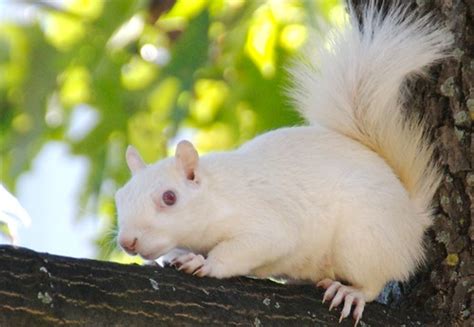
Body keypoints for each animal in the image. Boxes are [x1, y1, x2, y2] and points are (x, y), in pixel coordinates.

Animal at [115, 1, 452, 326]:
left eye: (169, 198)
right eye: (119, 198)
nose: (127, 241)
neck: (216, 195)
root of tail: (411, 217)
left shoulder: (264, 221)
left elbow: (251, 246)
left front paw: (203, 262)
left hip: (364, 239)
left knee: (373, 281)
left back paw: (350, 292)